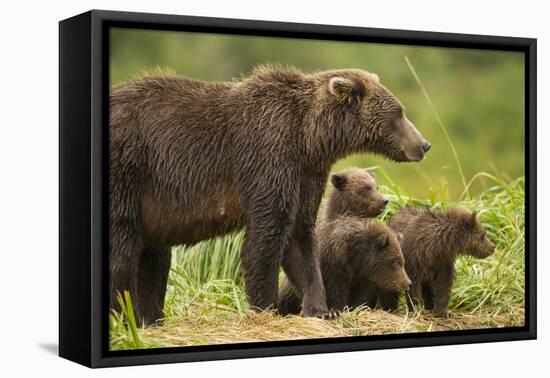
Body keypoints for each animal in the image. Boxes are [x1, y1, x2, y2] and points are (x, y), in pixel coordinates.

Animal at [110, 65, 434, 324]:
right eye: (399, 113)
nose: (424, 144)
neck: (308, 137)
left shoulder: (306, 175)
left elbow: (301, 239)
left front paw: (320, 308)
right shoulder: (268, 157)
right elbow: (268, 234)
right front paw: (266, 307)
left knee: (152, 259)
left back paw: (149, 319)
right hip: (129, 171)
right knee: (123, 249)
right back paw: (124, 317)